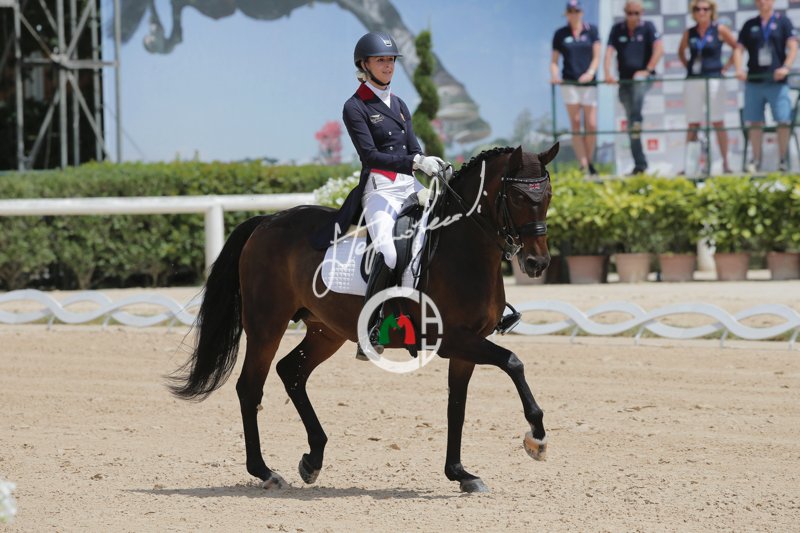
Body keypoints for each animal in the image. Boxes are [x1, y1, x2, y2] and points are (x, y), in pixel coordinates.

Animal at [169, 143, 558, 493]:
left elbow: (457, 407)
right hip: (267, 325)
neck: (463, 250)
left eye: (549, 194)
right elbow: (513, 362)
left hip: (325, 331)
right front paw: (536, 439)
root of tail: (268, 220)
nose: (537, 264)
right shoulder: (451, 339)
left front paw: (461, 474)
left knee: (291, 372)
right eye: (519, 197)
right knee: (250, 386)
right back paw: (266, 472)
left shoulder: (467, 345)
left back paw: (312, 459)